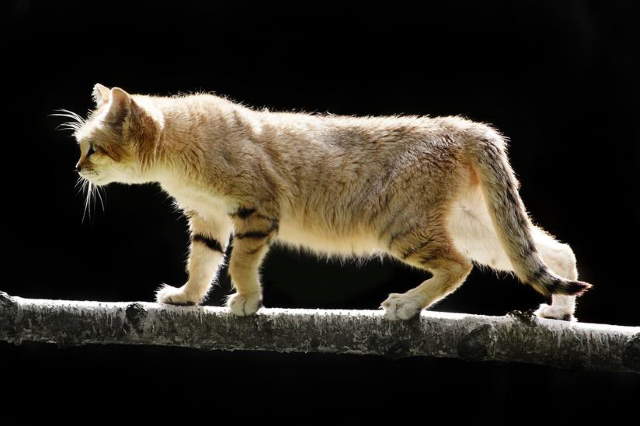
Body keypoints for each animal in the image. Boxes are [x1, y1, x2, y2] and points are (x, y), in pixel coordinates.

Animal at [65, 85, 592, 322]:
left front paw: (248, 300)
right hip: (479, 226)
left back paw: (407, 303)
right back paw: (559, 311)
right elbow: (203, 262)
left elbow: (239, 263)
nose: (77, 169)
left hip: (404, 227)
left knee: (457, 266)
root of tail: (466, 127)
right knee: (553, 251)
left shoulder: (256, 210)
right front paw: (187, 297)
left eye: (91, 148)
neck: (178, 144)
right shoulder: (209, 217)